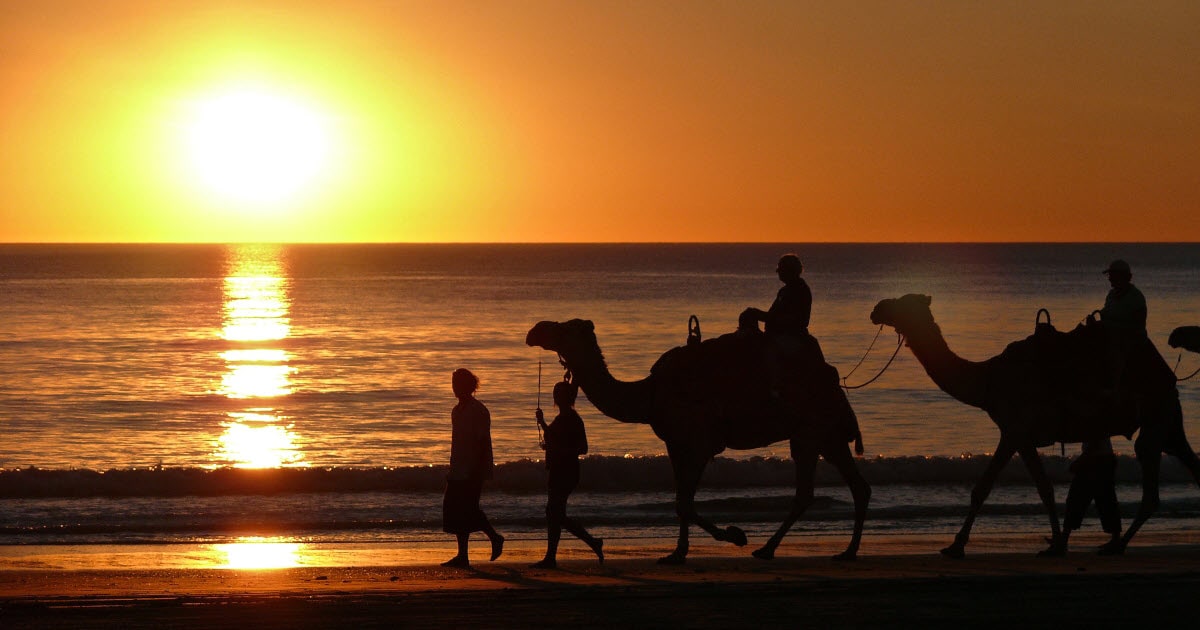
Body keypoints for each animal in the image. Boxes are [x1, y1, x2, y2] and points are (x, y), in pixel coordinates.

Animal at [528, 319, 873, 564]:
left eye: (565, 327)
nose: (534, 330)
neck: (649, 394)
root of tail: (833, 381)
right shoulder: (675, 443)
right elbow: (682, 501)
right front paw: (677, 553)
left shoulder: (699, 443)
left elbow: (685, 502)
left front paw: (735, 535)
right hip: (827, 435)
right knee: (857, 486)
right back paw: (847, 551)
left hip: (808, 432)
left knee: (807, 492)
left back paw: (767, 549)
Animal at [873, 292, 1200, 556]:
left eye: (903, 302)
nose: (877, 309)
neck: (987, 380)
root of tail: (1168, 376)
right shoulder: (1018, 434)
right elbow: (1038, 488)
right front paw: (1055, 543)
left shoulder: (1015, 430)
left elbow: (1002, 487)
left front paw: (956, 546)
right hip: (1169, 423)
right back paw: (1117, 543)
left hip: (1157, 418)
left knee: (1150, 485)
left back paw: (1117, 545)